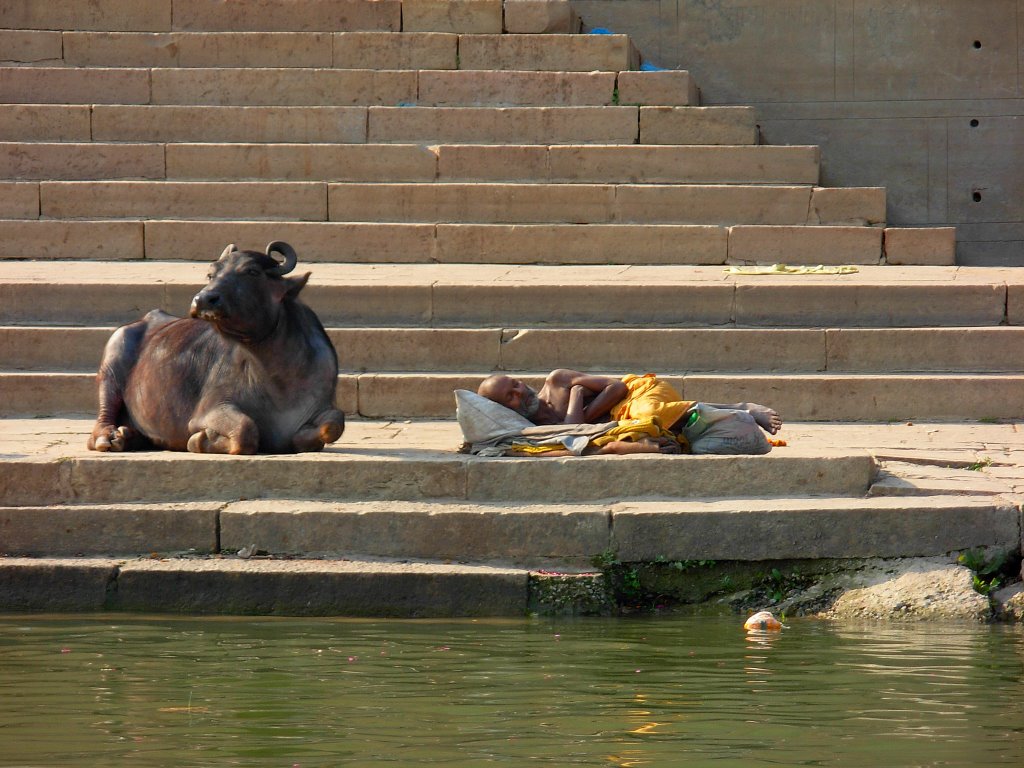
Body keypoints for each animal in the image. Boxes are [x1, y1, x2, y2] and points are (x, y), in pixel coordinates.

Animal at [88, 243, 344, 454]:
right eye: (211, 273)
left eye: (252, 272)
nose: (203, 299)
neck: (278, 378)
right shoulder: (209, 410)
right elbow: (245, 429)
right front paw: (201, 440)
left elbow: (335, 422)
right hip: (112, 362)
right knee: (103, 415)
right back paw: (110, 438)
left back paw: (129, 435)